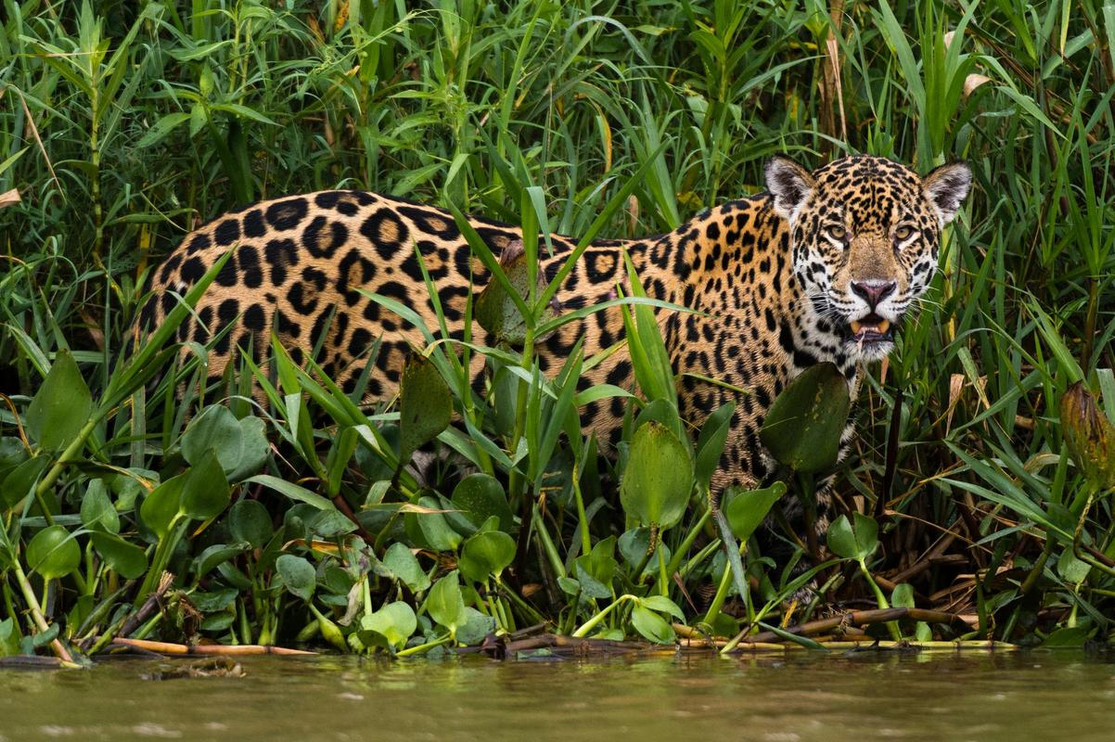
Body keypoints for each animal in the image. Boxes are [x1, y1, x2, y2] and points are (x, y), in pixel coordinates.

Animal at [139, 154, 971, 500]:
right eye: (834, 233)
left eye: (905, 235)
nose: (872, 291)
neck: (819, 347)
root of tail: (183, 253)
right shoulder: (722, 469)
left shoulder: (814, 473)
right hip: (242, 426)